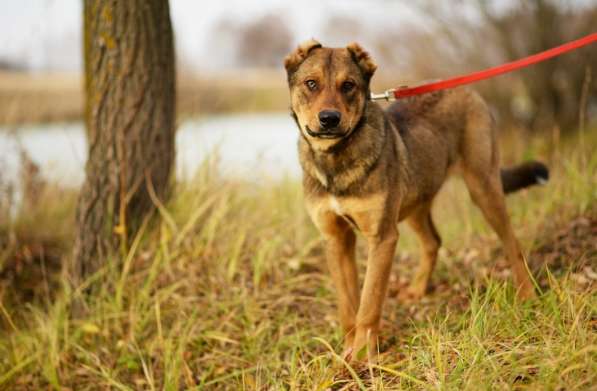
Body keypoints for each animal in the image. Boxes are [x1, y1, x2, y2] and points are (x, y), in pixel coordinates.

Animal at [282, 39, 548, 362]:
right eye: (311, 83)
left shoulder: (382, 237)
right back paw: (418, 290)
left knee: (512, 243)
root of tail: (465, 89)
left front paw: (362, 355)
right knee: (433, 241)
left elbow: (369, 303)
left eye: (348, 85)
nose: (329, 119)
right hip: (415, 204)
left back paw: (527, 293)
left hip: (483, 188)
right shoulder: (335, 238)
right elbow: (348, 304)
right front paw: (348, 347)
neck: (335, 160)